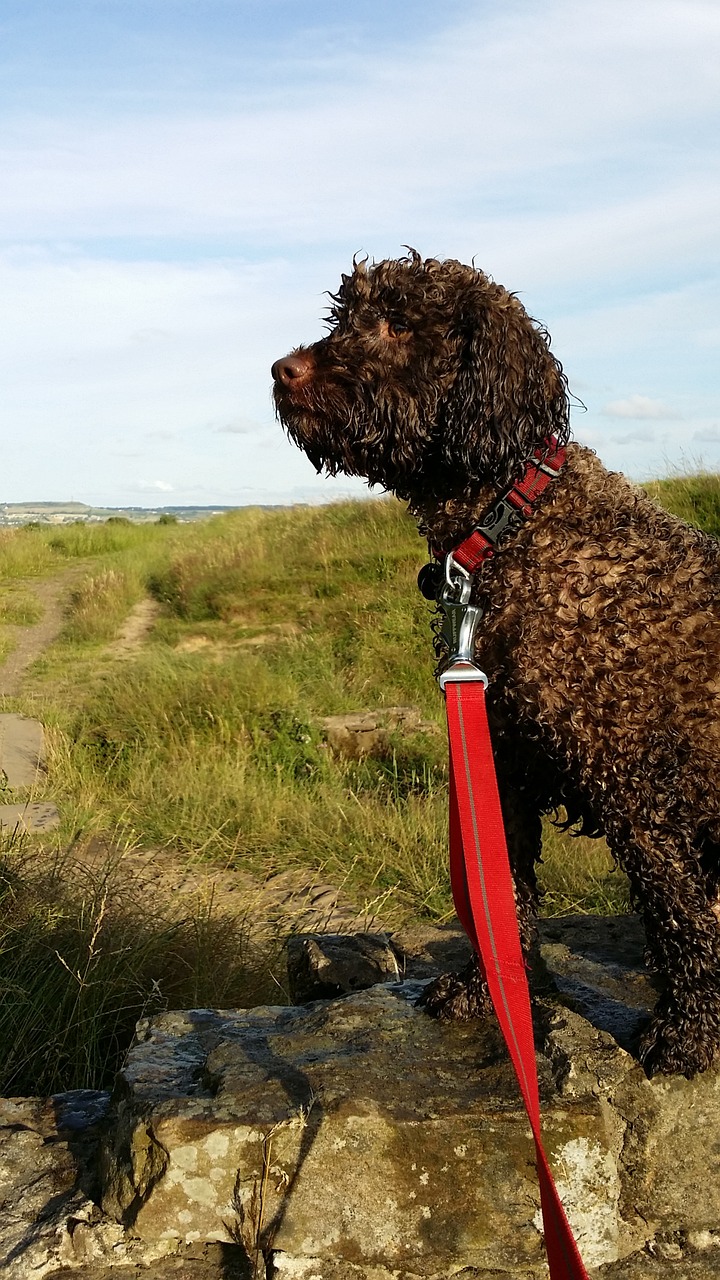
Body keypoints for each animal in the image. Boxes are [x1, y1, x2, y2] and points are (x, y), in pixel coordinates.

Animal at [271, 247, 717, 1070]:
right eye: (344, 314)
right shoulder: (501, 762)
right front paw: (490, 991)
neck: (511, 524)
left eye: (398, 322)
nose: (282, 370)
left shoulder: (636, 787)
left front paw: (687, 1033)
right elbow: (501, 889)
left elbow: (679, 917)